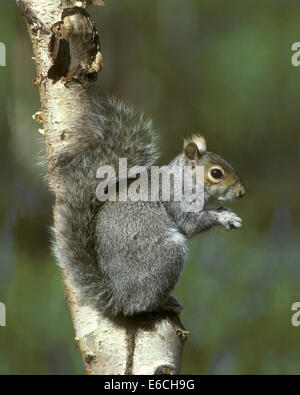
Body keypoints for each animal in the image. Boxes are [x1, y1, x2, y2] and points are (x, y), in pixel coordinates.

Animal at [51, 96, 246, 318]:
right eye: (216, 173)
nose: (242, 192)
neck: (183, 179)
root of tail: (118, 298)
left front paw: (227, 212)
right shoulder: (177, 200)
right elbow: (190, 225)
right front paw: (224, 217)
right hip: (167, 254)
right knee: (142, 304)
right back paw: (164, 303)